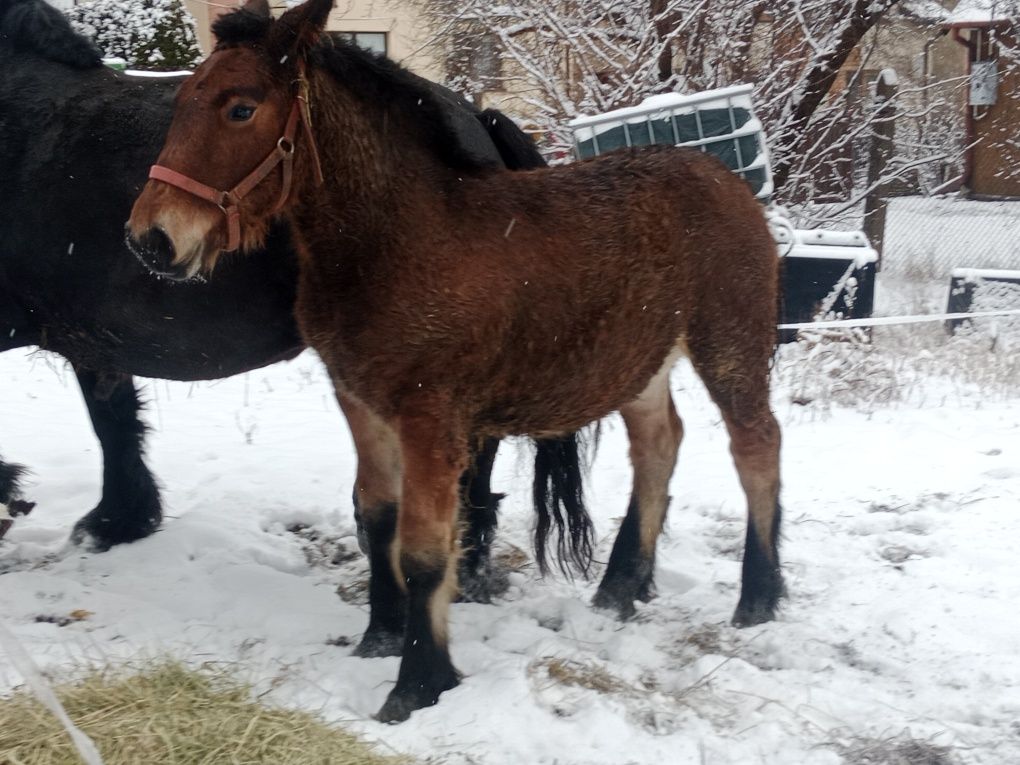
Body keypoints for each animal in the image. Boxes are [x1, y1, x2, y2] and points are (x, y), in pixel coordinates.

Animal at [0, 0, 591, 591]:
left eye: (241, 111)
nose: (150, 240)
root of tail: (479, 118)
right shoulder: (90, 336)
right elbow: (115, 421)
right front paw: (120, 519)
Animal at [125, 0, 779, 726]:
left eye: (241, 108)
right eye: (182, 100)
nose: (152, 239)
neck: (397, 241)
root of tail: (725, 177)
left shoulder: (431, 415)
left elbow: (424, 548)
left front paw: (418, 682)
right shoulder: (359, 398)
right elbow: (375, 515)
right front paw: (379, 637)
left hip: (730, 341)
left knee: (756, 446)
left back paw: (758, 596)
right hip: (640, 360)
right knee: (660, 445)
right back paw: (619, 588)